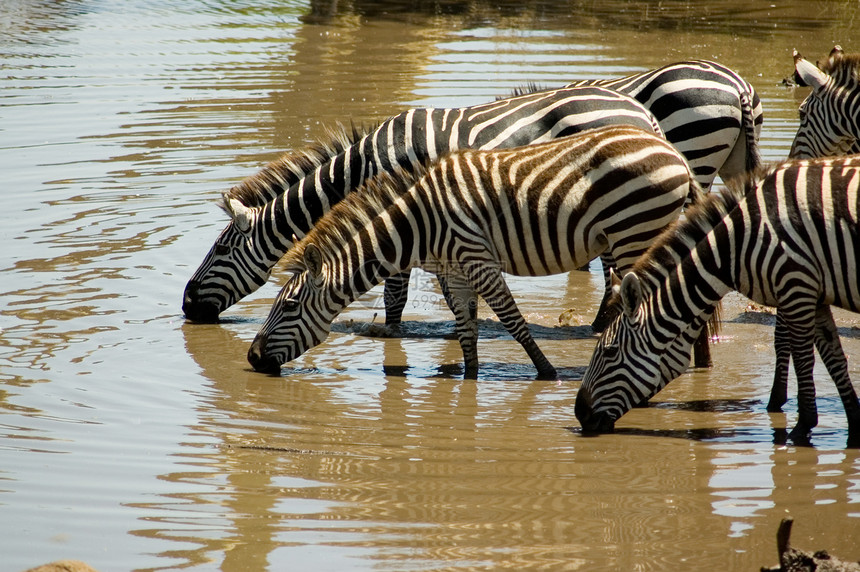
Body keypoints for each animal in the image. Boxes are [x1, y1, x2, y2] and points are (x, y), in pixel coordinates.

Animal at [245, 126, 704, 380]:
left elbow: (512, 320)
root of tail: (673, 152)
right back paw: (700, 368)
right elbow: (467, 330)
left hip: (636, 233)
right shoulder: (457, 270)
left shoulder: (477, 259)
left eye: (288, 307)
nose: (251, 357)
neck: (418, 226)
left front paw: (547, 373)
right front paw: (470, 377)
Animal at [572, 156, 860, 442]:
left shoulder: (796, 284)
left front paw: (802, 428)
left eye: (610, 352)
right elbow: (834, 358)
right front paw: (854, 426)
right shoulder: (815, 294)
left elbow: (803, 358)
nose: (579, 413)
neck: (735, 246)